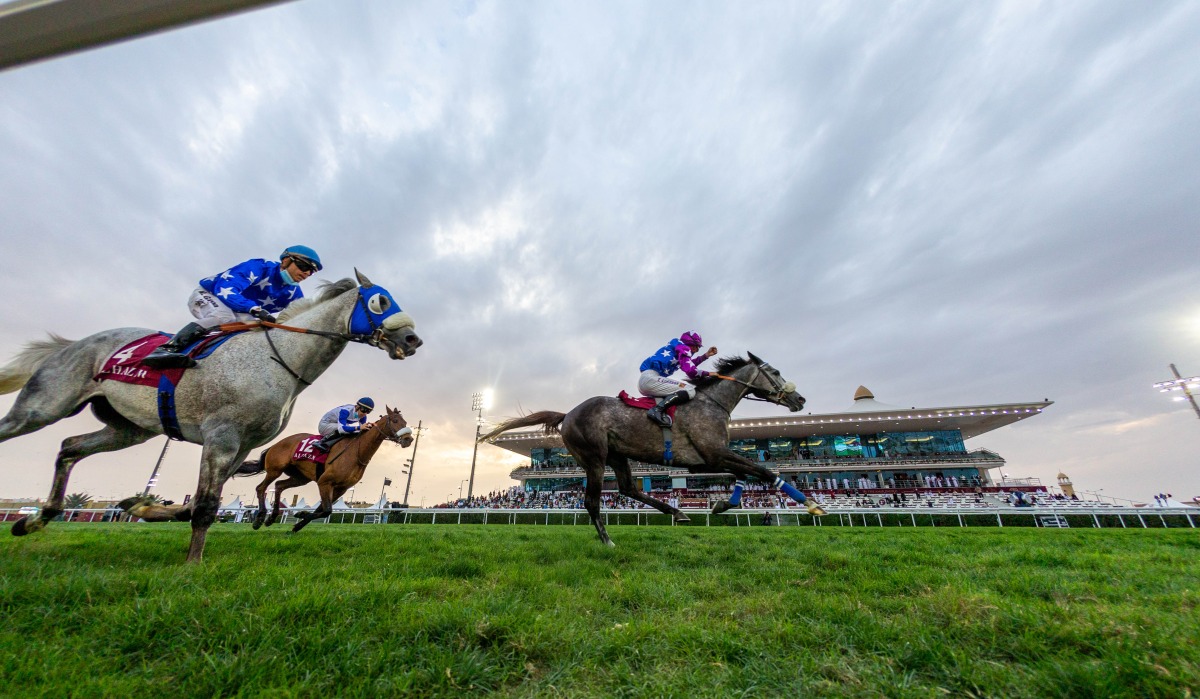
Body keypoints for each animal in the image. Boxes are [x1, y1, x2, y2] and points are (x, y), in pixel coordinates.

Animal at [235, 408, 417, 533]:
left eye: (405, 421)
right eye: (395, 420)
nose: (408, 439)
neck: (357, 452)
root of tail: (275, 444)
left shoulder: (341, 488)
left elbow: (321, 510)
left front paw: (299, 520)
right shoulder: (325, 481)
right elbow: (327, 509)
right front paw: (300, 519)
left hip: (300, 477)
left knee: (279, 486)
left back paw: (271, 518)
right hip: (275, 469)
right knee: (261, 488)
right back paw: (259, 518)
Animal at [477, 355, 825, 547]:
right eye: (775, 372)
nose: (800, 400)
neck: (711, 404)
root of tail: (568, 414)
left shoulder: (707, 460)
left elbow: (744, 473)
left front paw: (723, 504)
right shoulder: (712, 455)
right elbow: (764, 471)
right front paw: (811, 504)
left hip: (617, 455)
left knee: (628, 487)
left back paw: (677, 512)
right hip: (594, 458)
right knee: (592, 501)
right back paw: (608, 540)